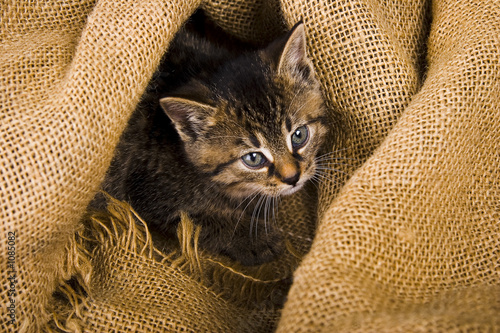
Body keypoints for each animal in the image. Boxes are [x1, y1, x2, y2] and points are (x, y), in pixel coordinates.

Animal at [95, 20, 330, 264]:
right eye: (253, 158)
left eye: (299, 135)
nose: (292, 178)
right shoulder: (148, 191)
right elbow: (197, 218)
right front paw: (257, 240)